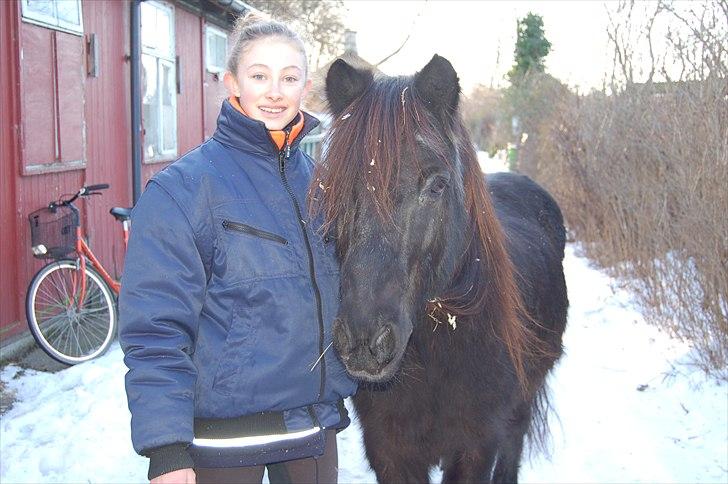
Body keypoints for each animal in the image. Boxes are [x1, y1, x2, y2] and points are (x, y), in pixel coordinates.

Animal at [312, 54, 568, 482]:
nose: (364, 340)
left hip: (522, 405)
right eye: (334, 183)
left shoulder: (476, 448)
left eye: (437, 184)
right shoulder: (390, 453)